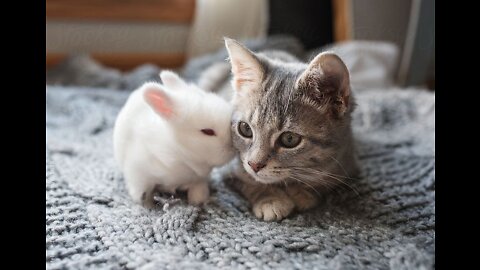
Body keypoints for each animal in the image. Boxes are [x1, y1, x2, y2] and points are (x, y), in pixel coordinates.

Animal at [112, 70, 232, 208]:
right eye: (208, 132)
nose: (232, 147)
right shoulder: (138, 173)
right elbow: (142, 194)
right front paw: (148, 205)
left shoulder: (198, 179)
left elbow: (199, 192)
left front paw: (200, 201)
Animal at [212, 39, 358, 223]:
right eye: (245, 129)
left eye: (289, 139)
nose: (254, 164)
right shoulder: (227, 168)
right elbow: (249, 181)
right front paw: (270, 199)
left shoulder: (346, 165)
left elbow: (324, 183)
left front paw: (301, 192)